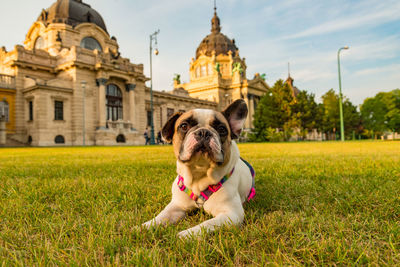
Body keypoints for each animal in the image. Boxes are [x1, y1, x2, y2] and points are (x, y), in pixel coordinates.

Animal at [143, 99, 256, 239]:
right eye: (184, 126)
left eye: (222, 129)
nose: (203, 132)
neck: (198, 173)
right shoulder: (176, 206)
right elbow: (161, 217)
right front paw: (143, 227)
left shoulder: (231, 214)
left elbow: (206, 225)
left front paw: (185, 235)